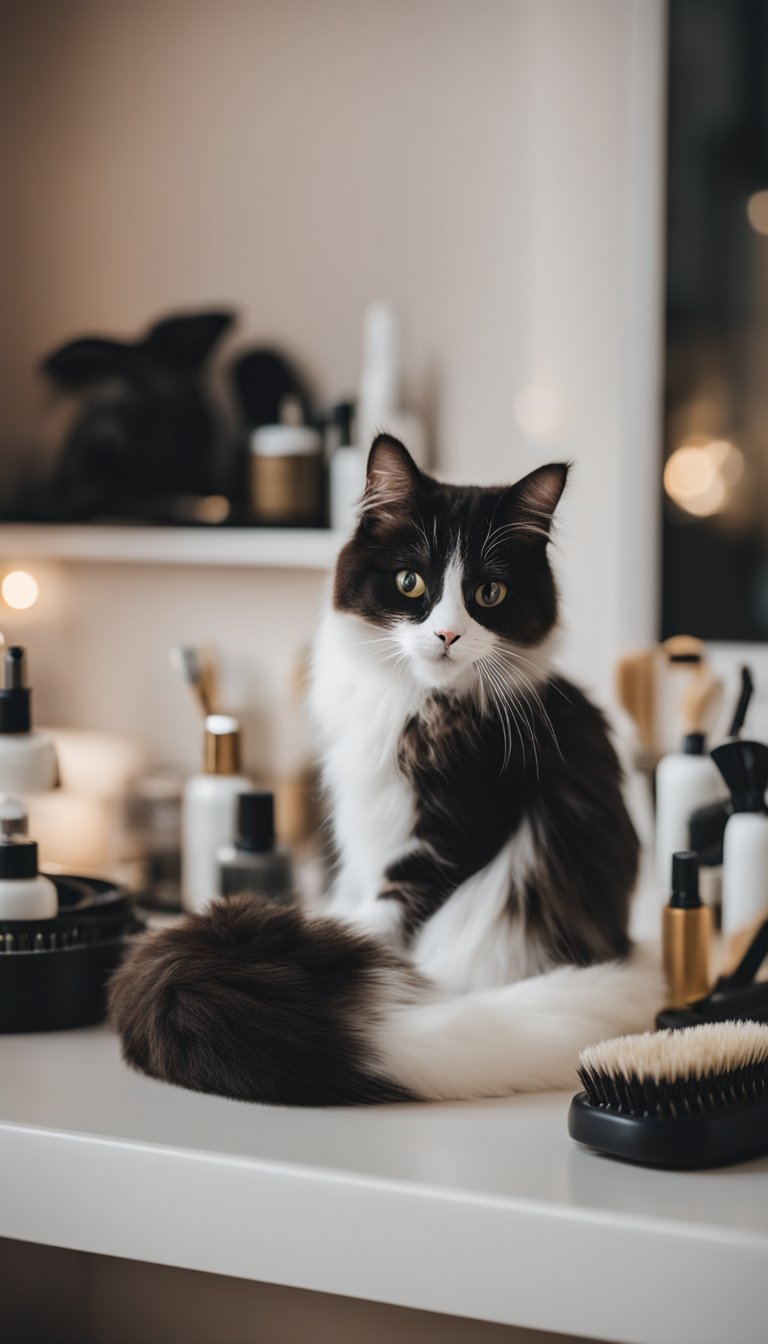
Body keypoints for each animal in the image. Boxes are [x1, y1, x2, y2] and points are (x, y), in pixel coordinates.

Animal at [109, 435, 667, 1107]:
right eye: (409, 581)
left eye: (489, 595)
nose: (447, 634)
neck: (414, 704)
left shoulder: (445, 843)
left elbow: (379, 920)